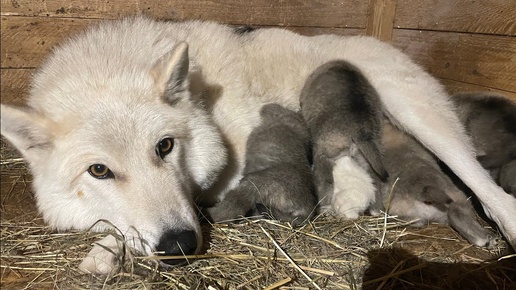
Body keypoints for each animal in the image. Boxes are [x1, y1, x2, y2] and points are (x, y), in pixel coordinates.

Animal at [298, 60, 388, 218]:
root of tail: (360, 131)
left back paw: (322, 208)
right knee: (376, 182)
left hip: (324, 154)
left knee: (326, 183)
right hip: (370, 158)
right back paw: (376, 210)